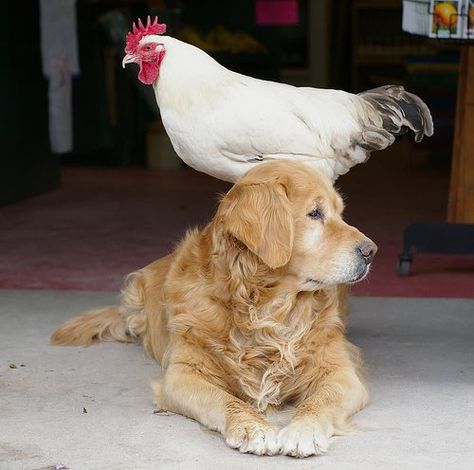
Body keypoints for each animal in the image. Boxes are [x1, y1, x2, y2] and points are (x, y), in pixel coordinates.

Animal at [51, 162, 376, 458]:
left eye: (340, 212)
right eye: (315, 213)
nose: (371, 251)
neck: (266, 308)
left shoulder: (341, 373)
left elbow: (319, 400)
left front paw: (302, 430)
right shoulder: (182, 375)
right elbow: (223, 399)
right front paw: (251, 427)